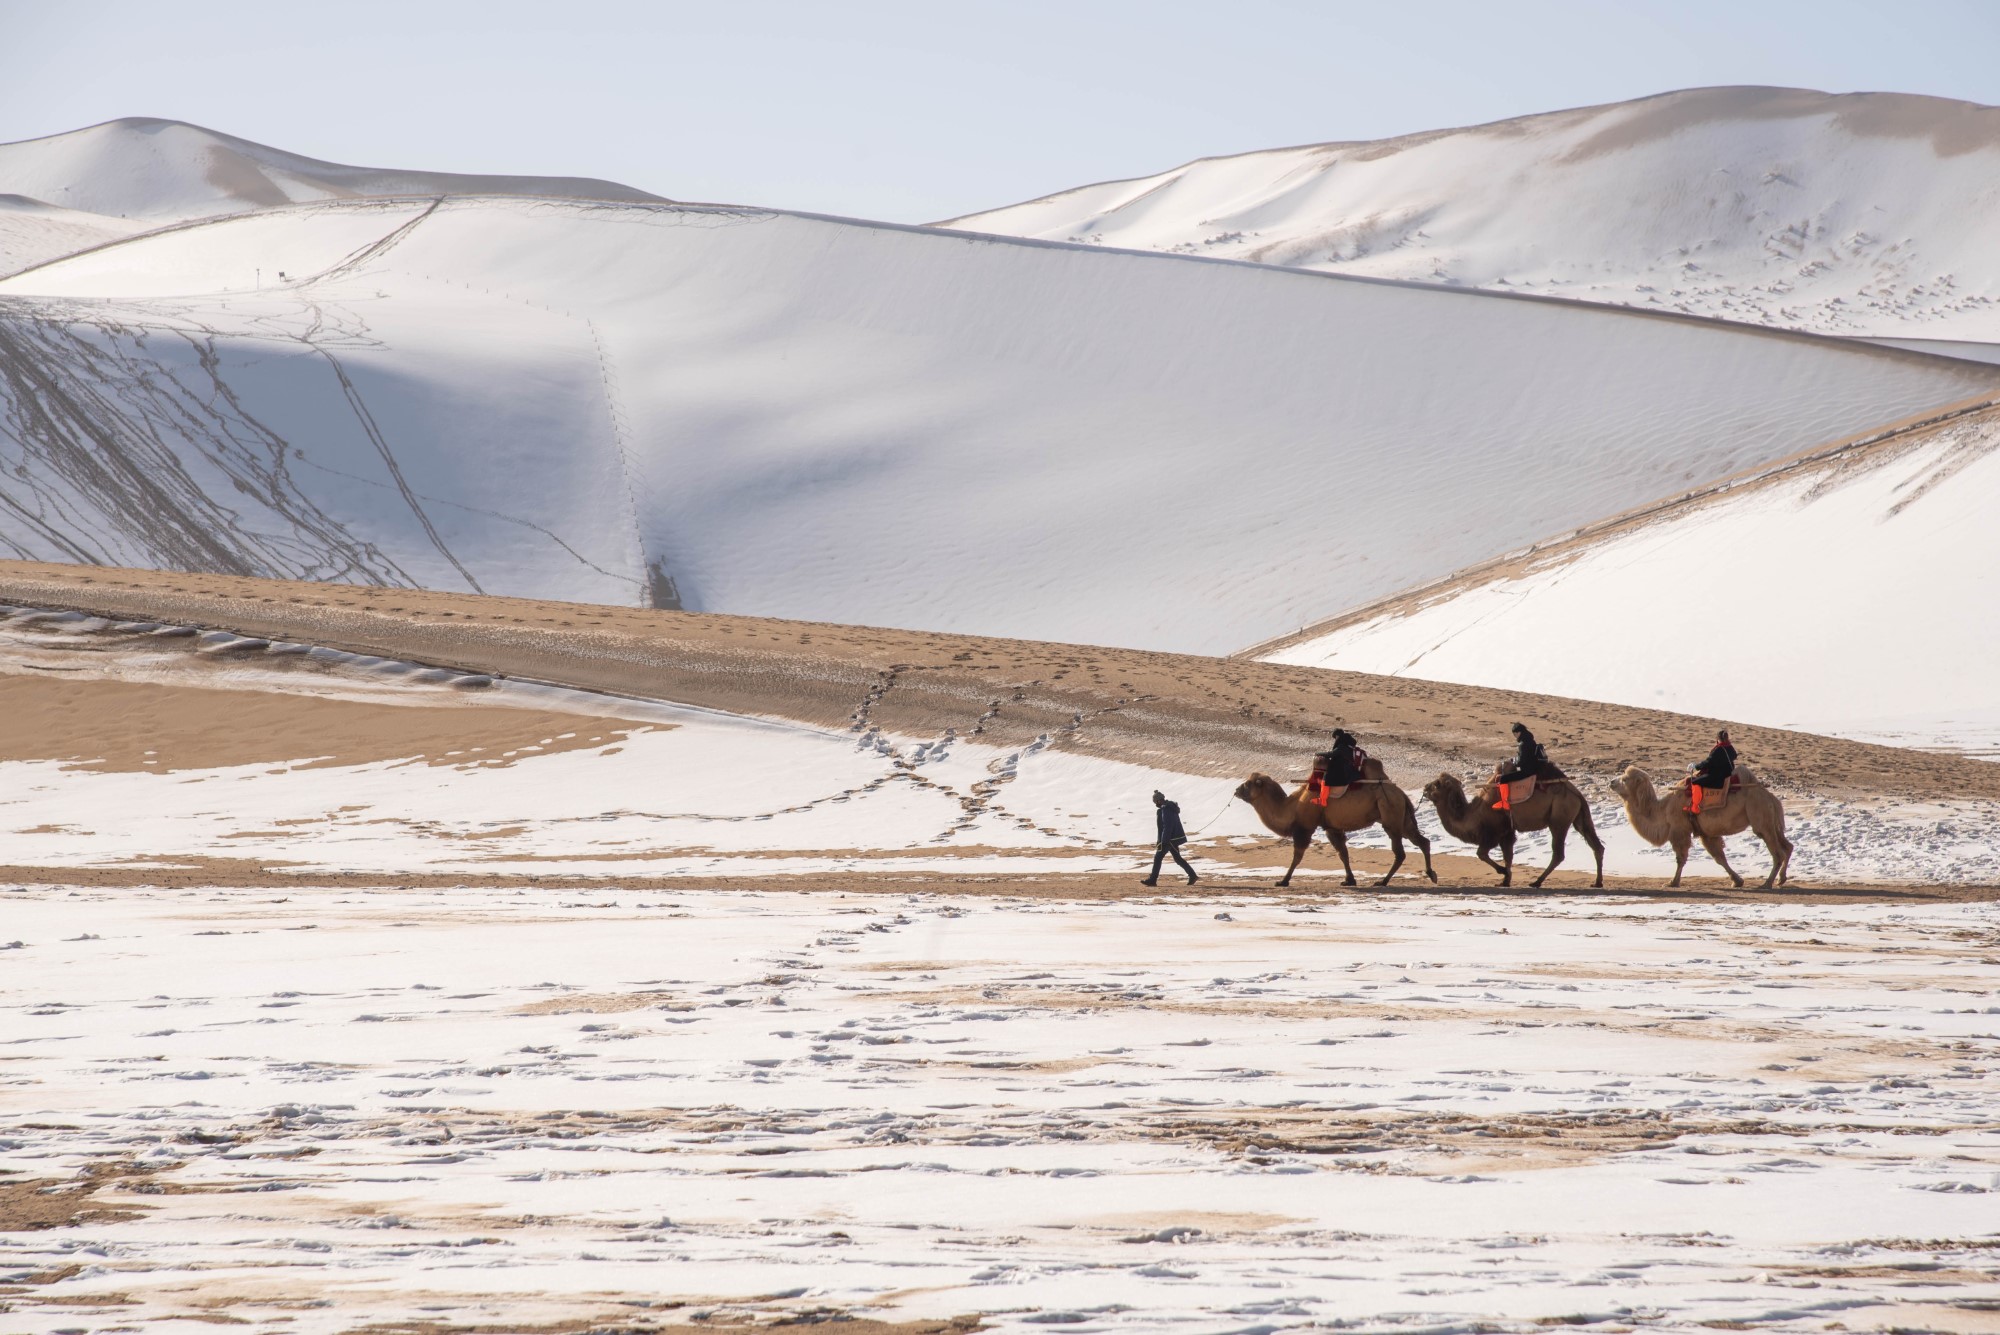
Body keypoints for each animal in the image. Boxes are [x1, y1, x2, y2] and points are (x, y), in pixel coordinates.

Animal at [1232, 759, 1440, 887]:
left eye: (1248, 784)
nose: (1236, 790)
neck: (1292, 806)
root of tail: (1401, 793)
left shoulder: (1305, 828)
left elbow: (1297, 857)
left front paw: (1283, 881)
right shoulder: (1331, 827)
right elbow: (1343, 853)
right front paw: (1349, 880)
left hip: (1390, 813)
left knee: (1400, 852)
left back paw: (1383, 881)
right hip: (1402, 818)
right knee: (1422, 841)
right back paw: (1431, 874)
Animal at [1424, 771, 1608, 887]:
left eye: (1437, 784)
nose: (1425, 788)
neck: (1474, 814)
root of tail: (1577, 793)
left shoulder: (1495, 833)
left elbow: (1481, 853)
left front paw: (1503, 873)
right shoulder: (1508, 833)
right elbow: (1508, 856)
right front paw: (1505, 880)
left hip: (1559, 819)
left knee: (1558, 853)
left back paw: (1536, 882)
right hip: (1579, 816)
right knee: (1596, 845)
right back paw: (1597, 882)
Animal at [1608, 767, 1800, 891]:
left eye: (1625, 779)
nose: (1611, 781)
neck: (1663, 809)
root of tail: (1770, 797)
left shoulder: (1680, 830)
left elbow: (1681, 858)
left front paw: (1672, 882)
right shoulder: (1707, 834)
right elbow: (1719, 858)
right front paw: (1737, 881)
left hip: (1760, 816)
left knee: (1777, 852)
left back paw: (1766, 883)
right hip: (1772, 821)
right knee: (1787, 846)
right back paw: (1781, 879)